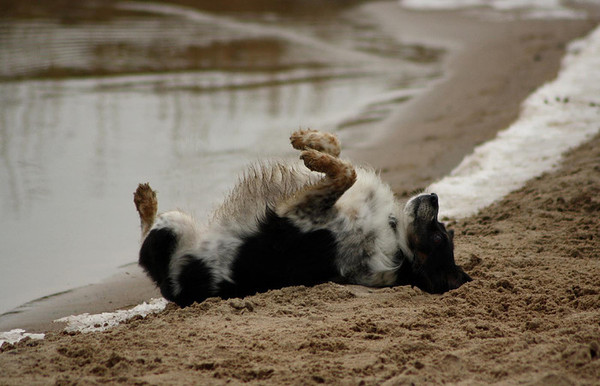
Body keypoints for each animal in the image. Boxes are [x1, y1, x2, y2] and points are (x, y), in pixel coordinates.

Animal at [134, 130, 472, 308]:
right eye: (443, 230)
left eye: (438, 237)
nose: (434, 197)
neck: (396, 242)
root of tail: (171, 290)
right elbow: (340, 154)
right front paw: (311, 140)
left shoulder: (298, 213)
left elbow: (346, 173)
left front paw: (314, 156)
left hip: (174, 226)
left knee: (145, 238)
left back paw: (145, 199)